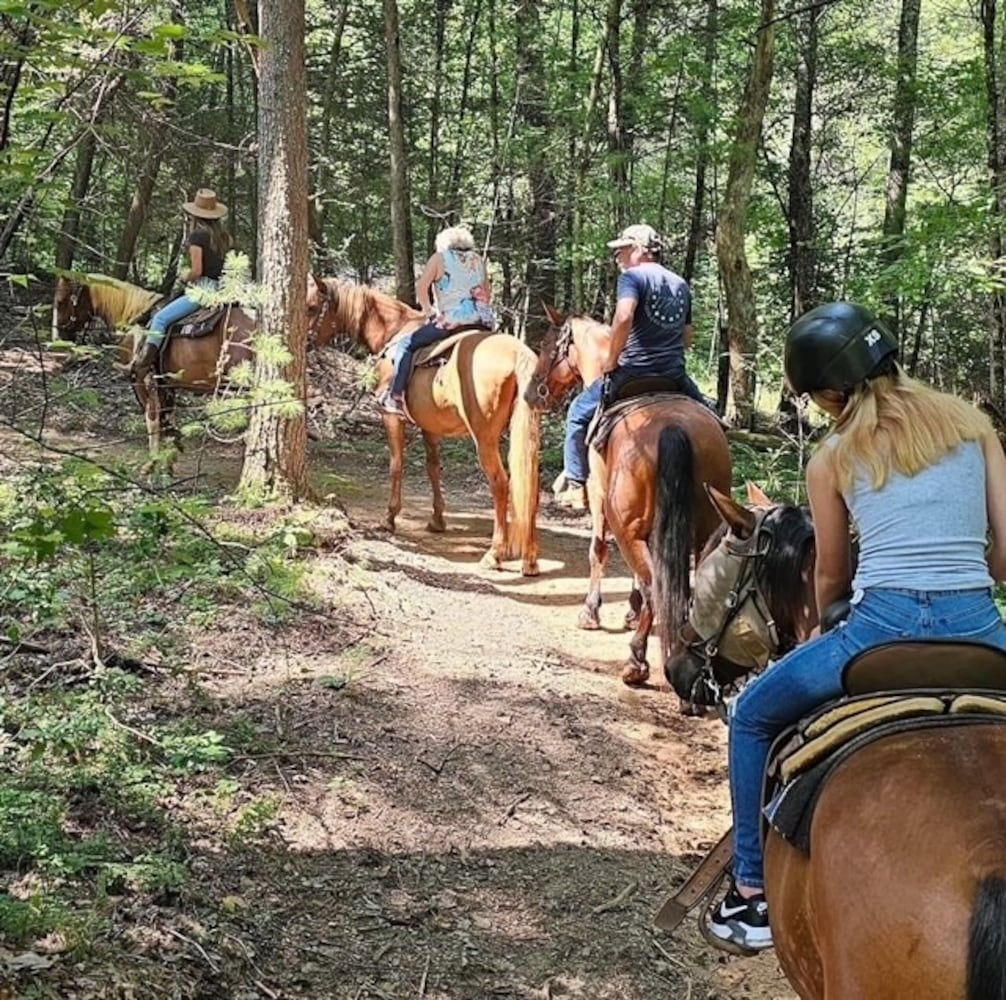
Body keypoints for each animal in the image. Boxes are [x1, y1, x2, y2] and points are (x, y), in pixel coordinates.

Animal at [51, 269, 257, 464]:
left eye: (61, 302)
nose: (58, 336)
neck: (134, 318)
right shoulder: (166, 384)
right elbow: (167, 420)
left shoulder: (141, 380)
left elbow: (152, 419)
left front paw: (154, 458)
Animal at [305, 275, 543, 575]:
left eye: (312, 307)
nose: (303, 345)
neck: (393, 330)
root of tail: (517, 353)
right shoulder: (430, 426)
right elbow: (433, 468)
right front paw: (437, 519)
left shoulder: (391, 417)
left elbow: (396, 465)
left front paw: (390, 517)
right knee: (529, 484)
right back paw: (529, 559)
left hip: (485, 438)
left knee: (500, 484)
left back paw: (494, 554)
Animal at [527, 305, 732, 684]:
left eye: (548, 346)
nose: (532, 393)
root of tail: (674, 427)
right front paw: (631, 613)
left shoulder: (599, 499)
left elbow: (598, 550)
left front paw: (590, 612)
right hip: (704, 528)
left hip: (627, 526)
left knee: (654, 585)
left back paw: (636, 661)